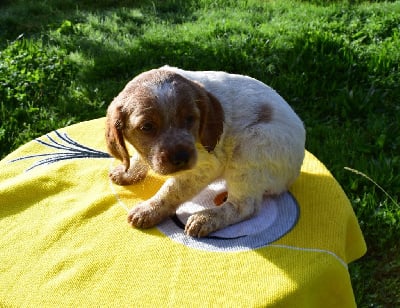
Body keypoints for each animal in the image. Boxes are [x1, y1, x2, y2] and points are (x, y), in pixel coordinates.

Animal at [104, 66, 304, 237]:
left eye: (190, 118)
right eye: (147, 127)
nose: (181, 157)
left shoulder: (207, 165)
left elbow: (172, 189)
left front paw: (149, 210)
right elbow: (139, 157)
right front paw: (128, 171)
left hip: (251, 147)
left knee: (245, 206)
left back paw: (205, 218)